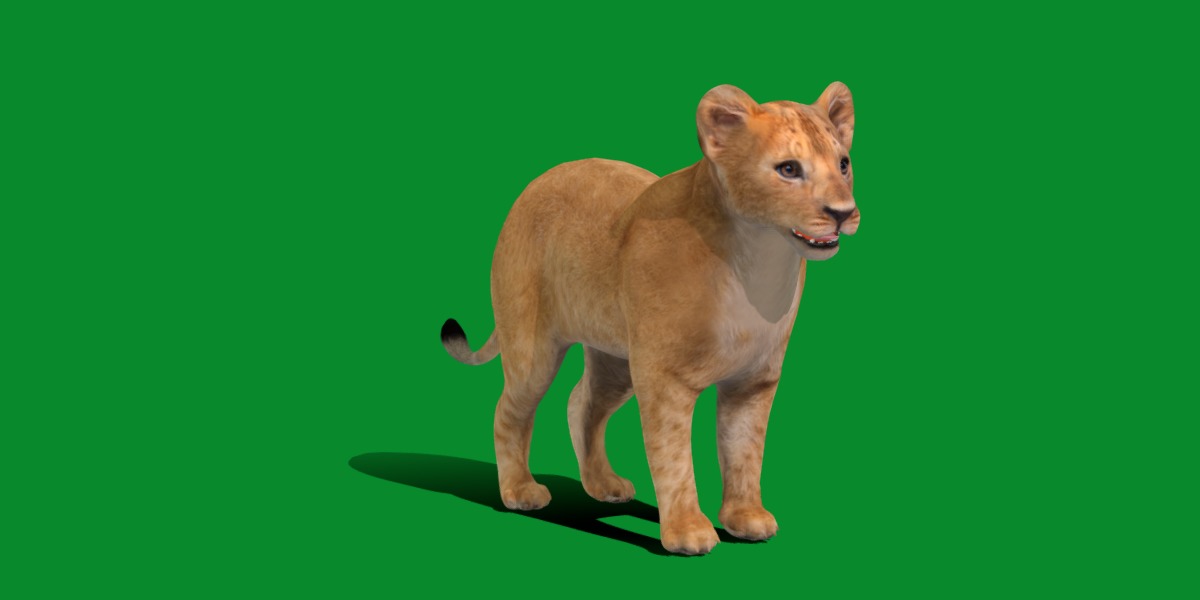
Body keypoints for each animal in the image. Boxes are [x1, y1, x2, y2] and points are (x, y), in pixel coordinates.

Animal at [440, 83, 859, 555]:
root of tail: (534, 184)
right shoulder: (665, 379)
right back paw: (520, 491)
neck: (761, 262)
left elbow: (744, 451)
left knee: (582, 404)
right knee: (508, 410)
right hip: (534, 349)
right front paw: (688, 532)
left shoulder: (753, 381)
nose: (843, 213)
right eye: (788, 169)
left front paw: (745, 518)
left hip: (615, 360)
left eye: (843, 164)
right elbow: (673, 458)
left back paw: (603, 484)